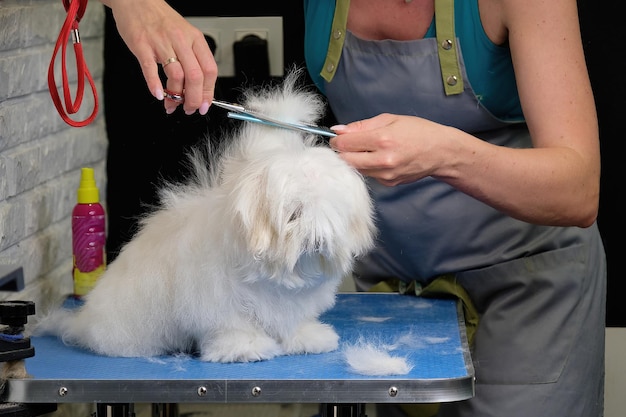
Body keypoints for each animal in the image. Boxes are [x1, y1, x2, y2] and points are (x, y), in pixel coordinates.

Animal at [34, 70, 372, 360]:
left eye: (331, 215)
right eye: (294, 214)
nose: (319, 240)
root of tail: (82, 322)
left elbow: (291, 323)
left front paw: (307, 338)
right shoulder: (217, 301)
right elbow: (234, 325)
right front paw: (245, 348)